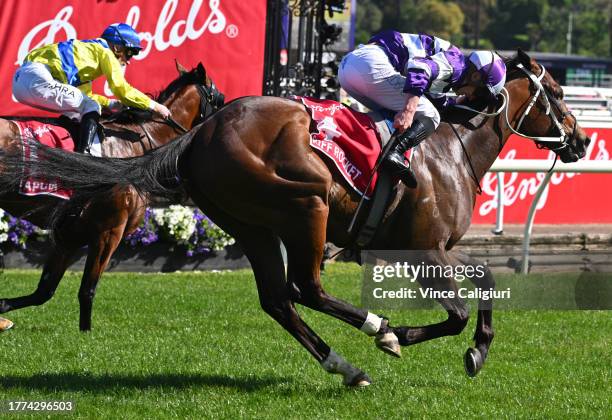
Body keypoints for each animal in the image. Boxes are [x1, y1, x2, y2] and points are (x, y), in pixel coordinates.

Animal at [0, 61, 224, 332]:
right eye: (218, 97)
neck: (134, 152)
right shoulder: (109, 230)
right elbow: (87, 289)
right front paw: (86, 333)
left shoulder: (68, 235)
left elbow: (44, 291)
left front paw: (3, 310)